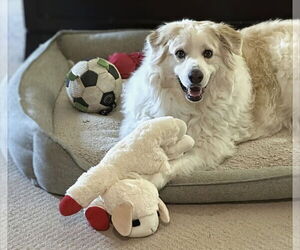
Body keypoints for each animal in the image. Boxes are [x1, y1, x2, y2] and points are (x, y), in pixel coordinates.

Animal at [119, 19, 298, 188]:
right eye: (180, 53)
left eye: (208, 53)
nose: (196, 76)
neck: (187, 106)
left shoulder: (208, 147)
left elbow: (170, 166)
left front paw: (145, 182)